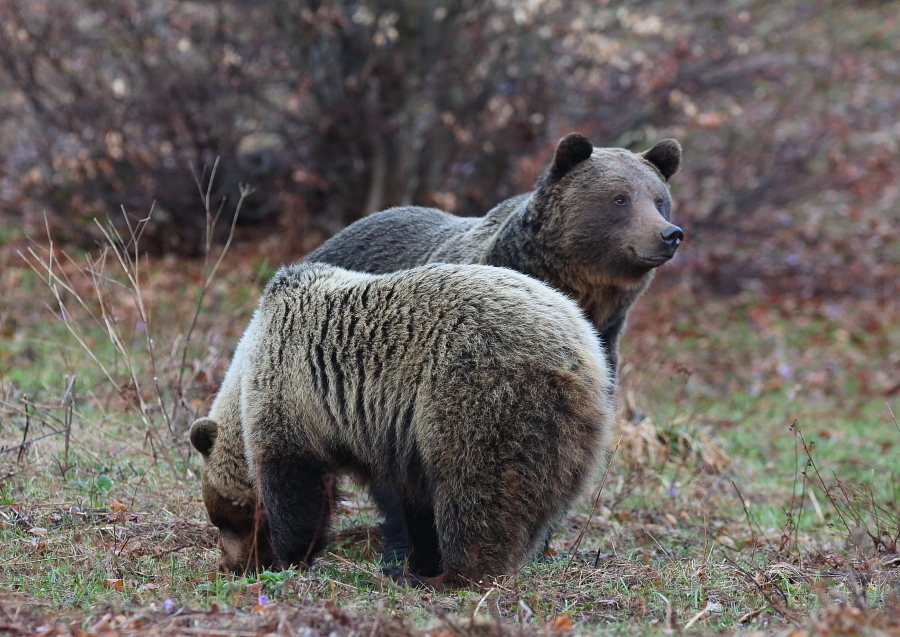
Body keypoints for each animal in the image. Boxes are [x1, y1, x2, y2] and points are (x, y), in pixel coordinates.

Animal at [190, 260, 612, 584]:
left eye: (222, 518)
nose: (230, 565)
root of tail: (580, 351)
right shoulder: (402, 437)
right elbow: (417, 502)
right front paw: (419, 560)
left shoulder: (291, 396)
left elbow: (297, 488)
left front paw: (286, 558)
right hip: (574, 433)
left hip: (477, 392)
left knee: (476, 490)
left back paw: (457, 575)